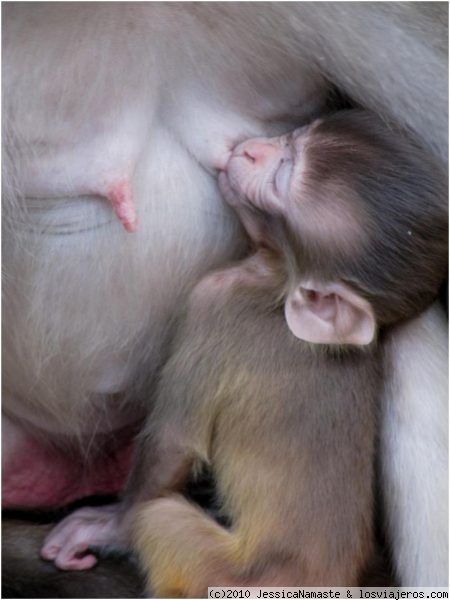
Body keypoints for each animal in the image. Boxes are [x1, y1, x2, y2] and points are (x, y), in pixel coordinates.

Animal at [2, 1, 446, 592]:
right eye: (295, 139)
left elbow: (174, 438)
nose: (252, 150)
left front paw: (111, 524)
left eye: (283, 172)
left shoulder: (212, 303)